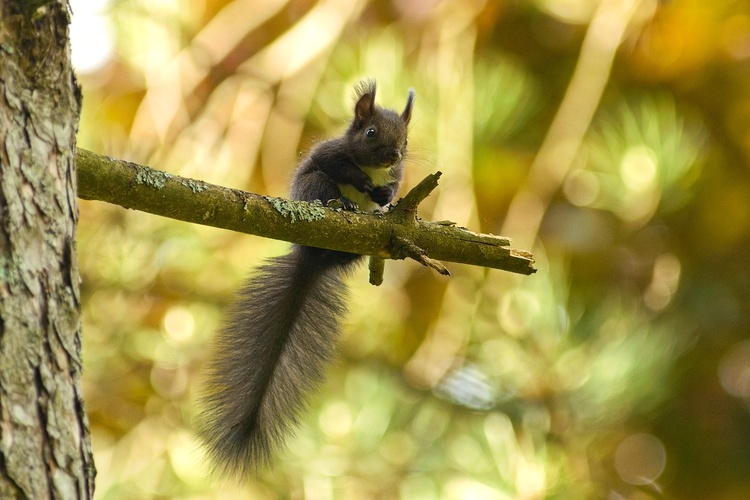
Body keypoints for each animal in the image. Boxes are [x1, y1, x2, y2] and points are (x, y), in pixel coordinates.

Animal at [197, 80, 414, 478]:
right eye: (371, 132)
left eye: (406, 141)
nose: (393, 156)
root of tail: (316, 257)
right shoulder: (329, 154)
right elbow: (337, 165)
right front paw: (363, 182)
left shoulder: (397, 175)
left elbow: (393, 188)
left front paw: (386, 195)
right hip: (314, 186)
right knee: (324, 190)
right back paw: (341, 205)